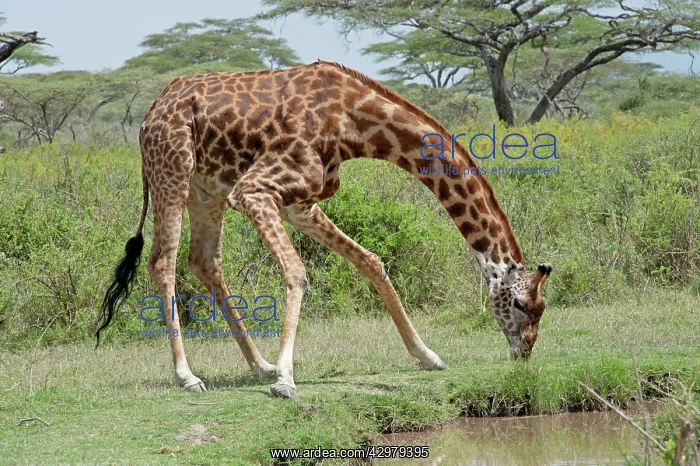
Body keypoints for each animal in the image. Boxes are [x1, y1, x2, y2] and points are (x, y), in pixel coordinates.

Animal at [97, 60, 553, 398]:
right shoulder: (255, 190)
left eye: (541, 308)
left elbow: (371, 261)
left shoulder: (301, 202)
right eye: (519, 304)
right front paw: (286, 379)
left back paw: (258, 364)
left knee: (204, 261)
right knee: (163, 262)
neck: (352, 122)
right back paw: (189, 376)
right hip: (172, 173)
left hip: (205, 191)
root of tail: (150, 113)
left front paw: (427, 356)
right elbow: (297, 272)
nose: (525, 351)